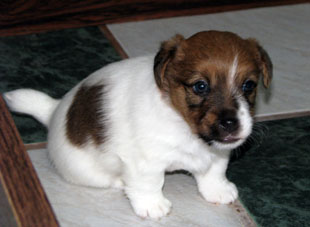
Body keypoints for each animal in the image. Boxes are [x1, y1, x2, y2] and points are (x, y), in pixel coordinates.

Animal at [4, 31, 272, 219]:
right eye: (200, 86)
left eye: (249, 85)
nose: (230, 123)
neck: (185, 126)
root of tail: (54, 111)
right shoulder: (144, 162)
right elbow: (150, 183)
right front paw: (152, 205)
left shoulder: (217, 153)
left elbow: (214, 170)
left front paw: (217, 190)